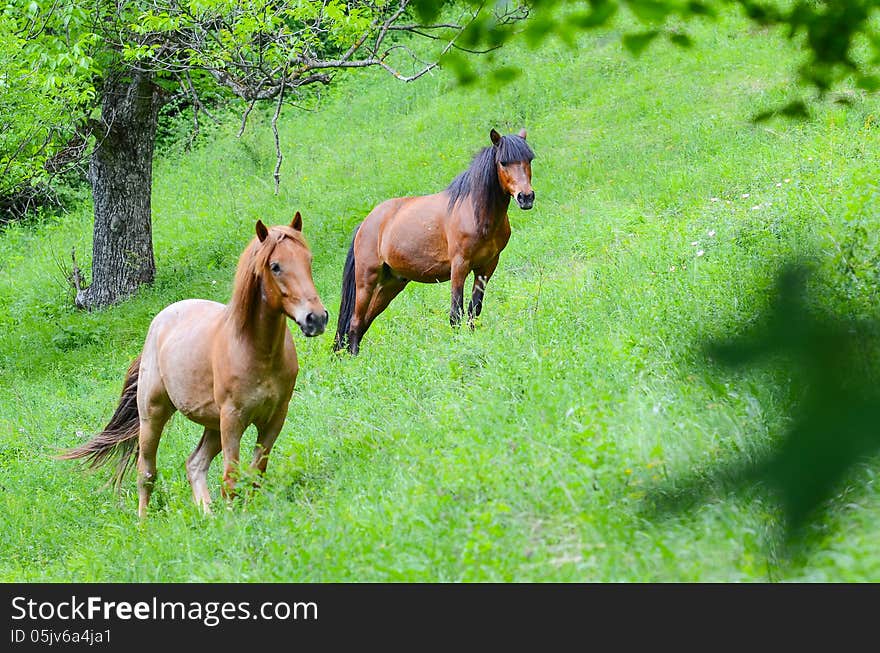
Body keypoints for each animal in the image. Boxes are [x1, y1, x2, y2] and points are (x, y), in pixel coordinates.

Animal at [62, 214, 328, 516]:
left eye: (308, 259)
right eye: (275, 266)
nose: (316, 318)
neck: (257, 352)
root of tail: (160, 321)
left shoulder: (274, 418)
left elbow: (255, 473)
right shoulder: (233, 420)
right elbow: (230, 478)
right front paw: (234, 520)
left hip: (212, 425)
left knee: (195, 464)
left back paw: (207, 515)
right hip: (153, 417)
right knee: (146, 473)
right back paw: (144, 522)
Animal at [332, 126, 532, 352]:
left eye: (529, 159)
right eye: (503, 162)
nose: (526, 197)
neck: (475, 213)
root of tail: (365, 224)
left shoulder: (486, 267)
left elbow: (474, 309)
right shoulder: (459, 266)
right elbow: (456, 313)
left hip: (390, 285)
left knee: (363, 323)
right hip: (367, 281)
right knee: (355, 323)